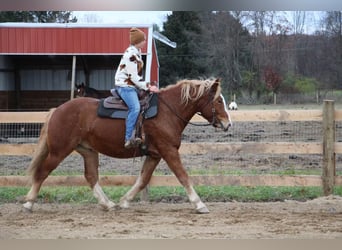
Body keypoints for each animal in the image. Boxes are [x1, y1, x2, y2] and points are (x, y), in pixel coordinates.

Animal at [23, 77, 232, 213]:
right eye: (218, 100)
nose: (228, 124)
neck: (168, 111)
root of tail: (57, 110)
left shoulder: (154, 155)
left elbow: (143, 180)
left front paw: (124, 201)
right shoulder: (168, 151)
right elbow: (183, 176)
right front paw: (199, 204)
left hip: (88, 151)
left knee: (91, 176)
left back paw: (108, 204)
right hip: (59, 151)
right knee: (42, 172)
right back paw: (29, 203)